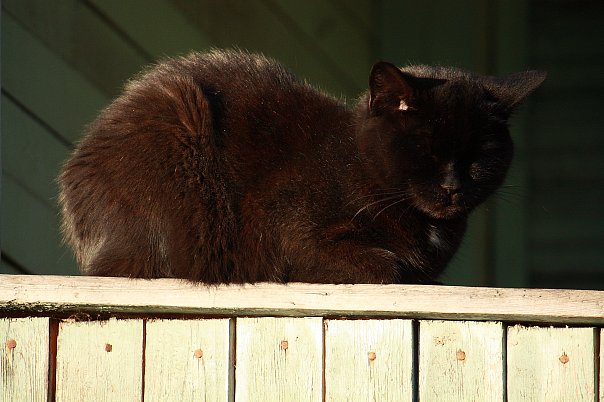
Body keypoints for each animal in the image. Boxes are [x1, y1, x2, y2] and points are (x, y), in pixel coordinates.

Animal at [59, 49, 544, 282]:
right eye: (426, 148)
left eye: (480, 156)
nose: (452, 186)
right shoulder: (289, 227)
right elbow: (386, 266)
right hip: (177, 122)